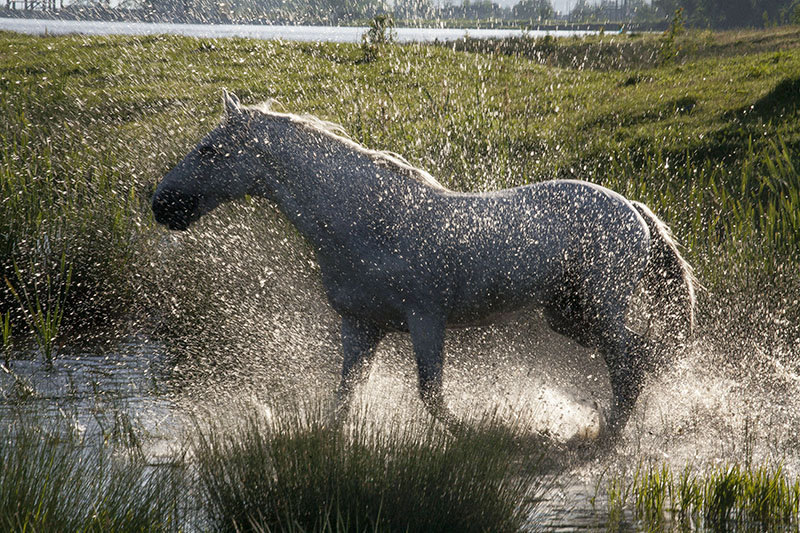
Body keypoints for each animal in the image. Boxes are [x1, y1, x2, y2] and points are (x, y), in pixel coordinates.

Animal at [152, 91, 692, 438]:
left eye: (209, 150)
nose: (162, 206)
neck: (366, 221)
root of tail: (632, 210)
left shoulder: (425, 318)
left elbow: (432, 395)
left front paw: (481, 434)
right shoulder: (360, 326)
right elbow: (344, 396)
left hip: (602, 309)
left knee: (630, 364)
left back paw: (607, 432)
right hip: (568, 314)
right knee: (637, 357)